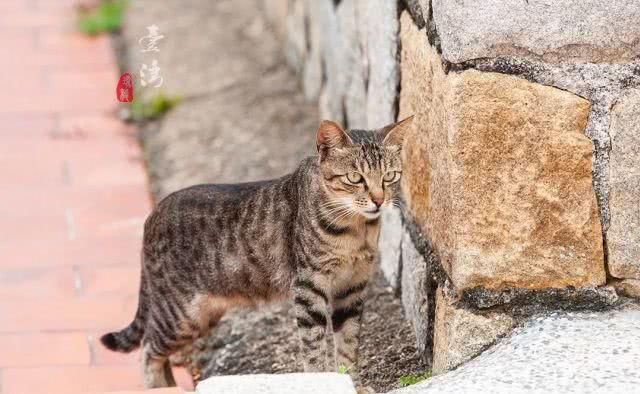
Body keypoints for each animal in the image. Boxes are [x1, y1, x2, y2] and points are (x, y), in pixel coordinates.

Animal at [99, 117, 410, 388]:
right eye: (355, 178)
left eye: (390, 176)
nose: (379, 200)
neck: (357, 231)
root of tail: (152, 216)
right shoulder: (309, 288)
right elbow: (315, 347)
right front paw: (324, 381)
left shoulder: (353, 288)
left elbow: (348, 343)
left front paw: (353, 384)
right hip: (180, 315)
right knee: (148, 348)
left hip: (201, 316)